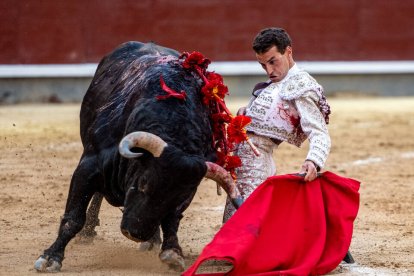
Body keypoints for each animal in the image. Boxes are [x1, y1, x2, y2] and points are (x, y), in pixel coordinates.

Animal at [36, 42, 243, 272]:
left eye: (179, 197)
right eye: (143, 183)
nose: (134, 233)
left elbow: (172, 220)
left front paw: (172, 252)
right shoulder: (89, 165)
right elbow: (73, 216)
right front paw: (51, 257)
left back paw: (152, 240)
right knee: (96, 196)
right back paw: (89, 232)